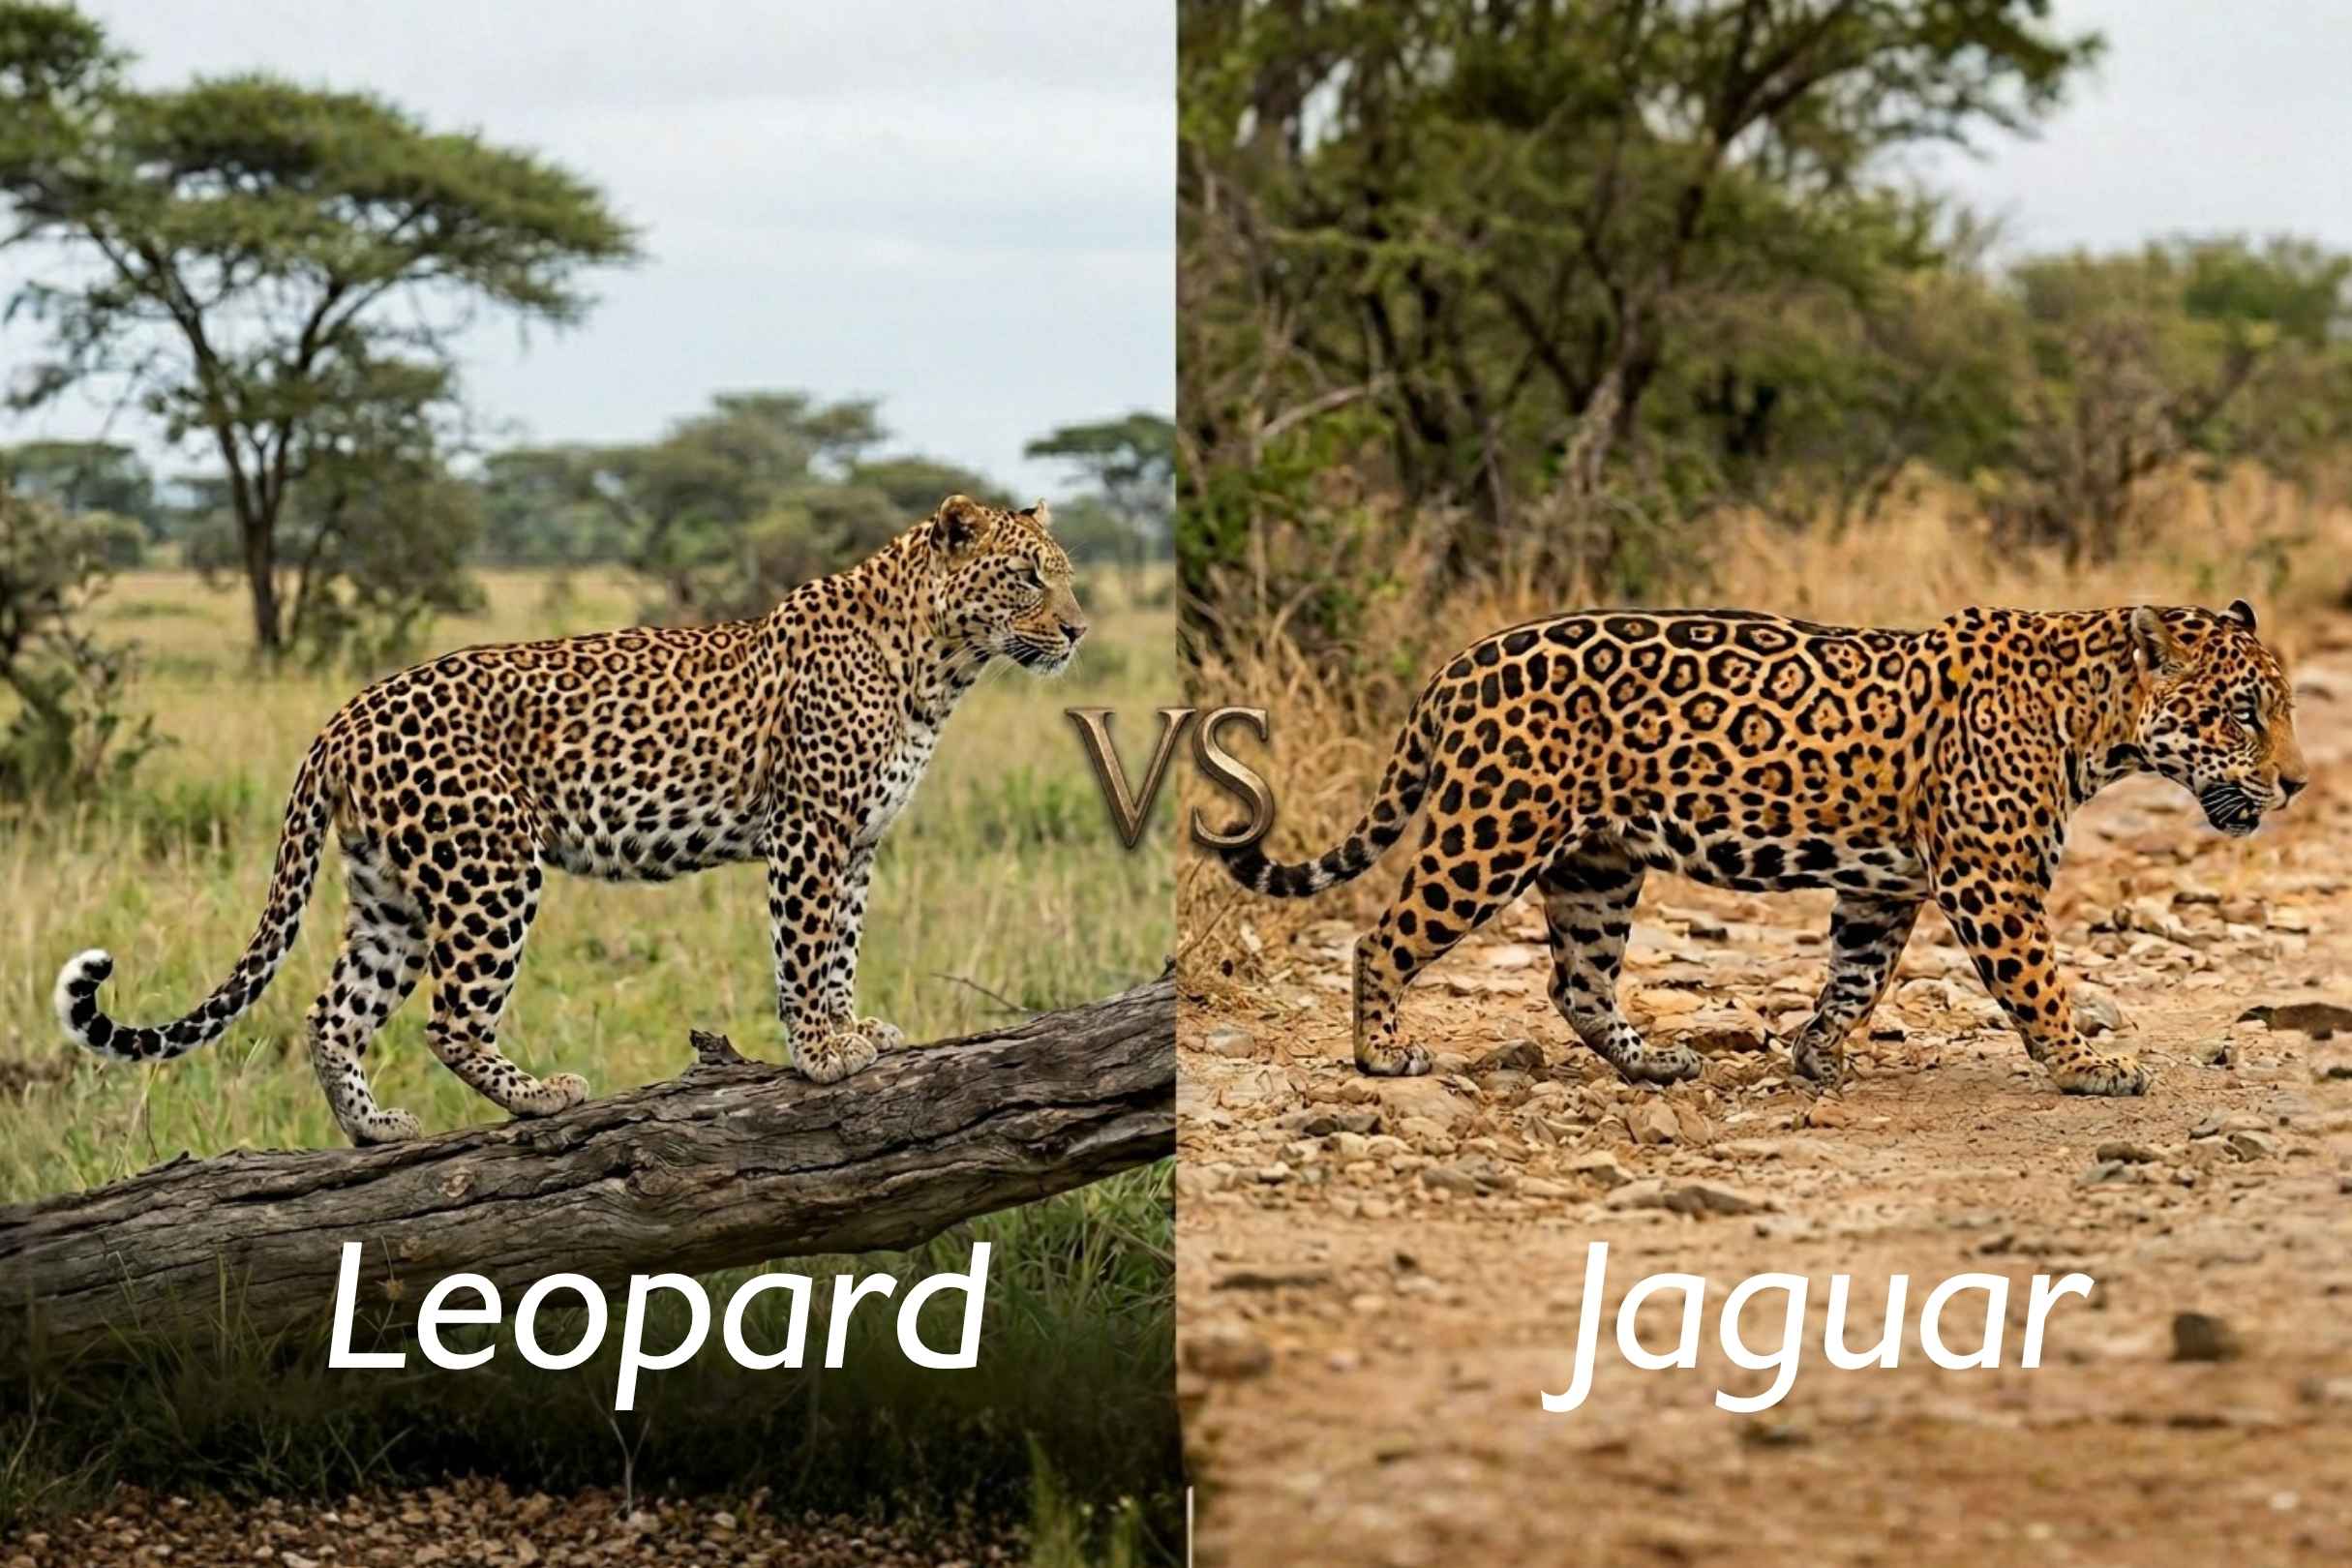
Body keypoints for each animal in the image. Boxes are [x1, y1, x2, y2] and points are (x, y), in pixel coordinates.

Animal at [55, 494, 1086, 1145]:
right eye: (1029, 579)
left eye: (1066, 577)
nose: (1080, 629)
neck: (941, 666)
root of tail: (344, 715)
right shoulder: (812, 831)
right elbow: (802, 951)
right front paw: (821, 1054)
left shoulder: (859, 841)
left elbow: (841, 950)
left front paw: (852, 1030)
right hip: (490, 867)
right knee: (448, 1019)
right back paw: (540, 1099)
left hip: (391, 893)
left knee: (331, 1013)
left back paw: (373, 1128)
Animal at [1218, 600, 2307, 1097]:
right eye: (2244, 715)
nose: (2297, 783)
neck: (2093, 719)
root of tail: (1458, 663)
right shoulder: (1991, 882)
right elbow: (2039, 982)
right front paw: (2088, 1067)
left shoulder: (1885, 886)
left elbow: (1856, 977)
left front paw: (1817, 1055)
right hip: (1493, 831)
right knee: (1384, 937)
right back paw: (1380, 1052)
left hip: (1597, 864)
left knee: (1575, 981)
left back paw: (1654, 1063)